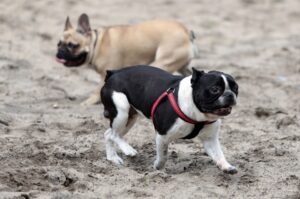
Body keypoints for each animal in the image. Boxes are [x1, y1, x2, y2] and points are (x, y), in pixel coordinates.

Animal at [101, 65, 239, 174]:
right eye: (214, 89)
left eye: (236, 88)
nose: (230, 94)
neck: (198, 113)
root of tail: (114, 73)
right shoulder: (162, 136)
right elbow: (163, 156)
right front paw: (158, 167)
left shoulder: (210, 140)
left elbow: (218, 154)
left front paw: (226, 166)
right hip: (121, 111)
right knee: (114, 135)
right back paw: (128, 150)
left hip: (130, 118)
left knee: (109, 134)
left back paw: (112, 158)